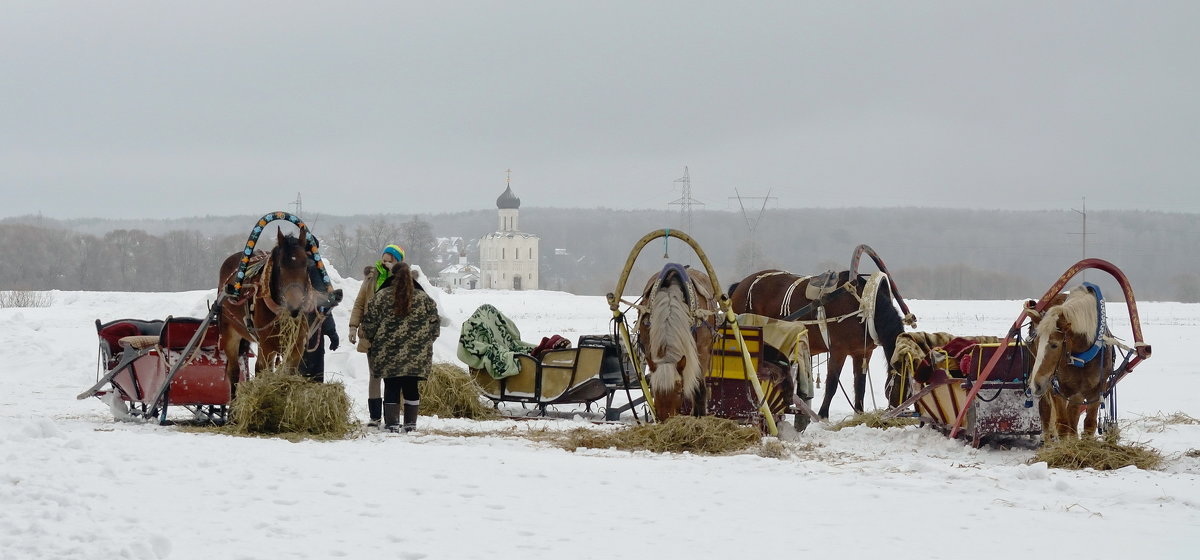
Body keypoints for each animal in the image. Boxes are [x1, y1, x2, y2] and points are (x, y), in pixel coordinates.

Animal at [218, 227, 316, 398]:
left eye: (306, 265)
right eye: (280, 267)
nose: (295, 306)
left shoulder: (296, 348)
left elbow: (287, 375)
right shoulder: (266, 347)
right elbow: (260, 370)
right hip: (230, 333)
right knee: (234, 372)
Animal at [638, 265, 720, 422]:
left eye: (678, 390)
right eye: (654, 390)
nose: (664, 419)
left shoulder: (702, 352)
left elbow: (698, 387)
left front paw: (699, 415)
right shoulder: (649, 347)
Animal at [724, 269, 902, 419]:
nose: (899, 412)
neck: (863, 307)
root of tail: (740, 284)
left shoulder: (863, 352)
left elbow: (860, 384)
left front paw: (859, 413)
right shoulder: (839, 350)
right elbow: (832, 384)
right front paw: (823, 415)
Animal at [1022, 286, 1113, 441]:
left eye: (1054, 345)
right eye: (1036, 342)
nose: (1035, 384)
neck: (1081, 359)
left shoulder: (1097, 390)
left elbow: (1089, 424)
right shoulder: (1056, 388)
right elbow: (1062, 425)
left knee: (1073, 415)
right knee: (1046, 412)